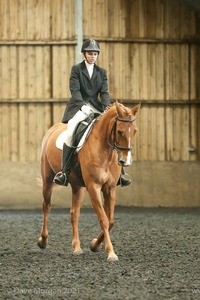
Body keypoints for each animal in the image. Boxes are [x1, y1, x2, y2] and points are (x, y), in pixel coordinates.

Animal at [37, 101, 141, 260]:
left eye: (134, 131)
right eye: (119, 132)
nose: (126, 161)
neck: (105, 150)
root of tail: (52, 128)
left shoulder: (110, 188)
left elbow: (110, 221)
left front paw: (94, 245)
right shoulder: (94, 187)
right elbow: (103, 219)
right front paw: (111, 253)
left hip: (77, 186)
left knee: (74, 213)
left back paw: (77, 247)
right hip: (47, 180)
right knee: (46, 206)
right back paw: (43, 241)